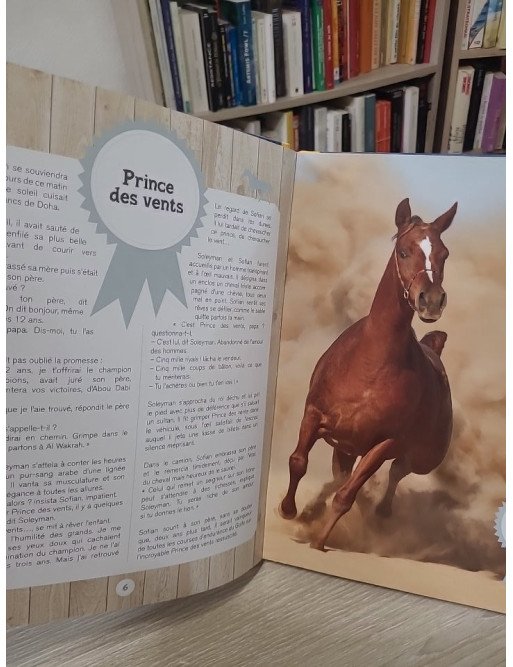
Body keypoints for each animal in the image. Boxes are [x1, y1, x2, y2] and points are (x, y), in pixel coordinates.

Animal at [279, 198, 457, 551]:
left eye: (443, 253)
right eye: (403, 251)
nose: (430, 301)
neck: (371, 367)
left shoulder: (385, 442)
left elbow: (346, 496)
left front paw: (319, 541)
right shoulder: (314, 415)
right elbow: (299, 461)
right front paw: (289, 510)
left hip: (423, 457)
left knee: (397, 471)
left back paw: (381, 511)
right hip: (346, 447)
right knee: (342, 475)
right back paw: (311, 510)